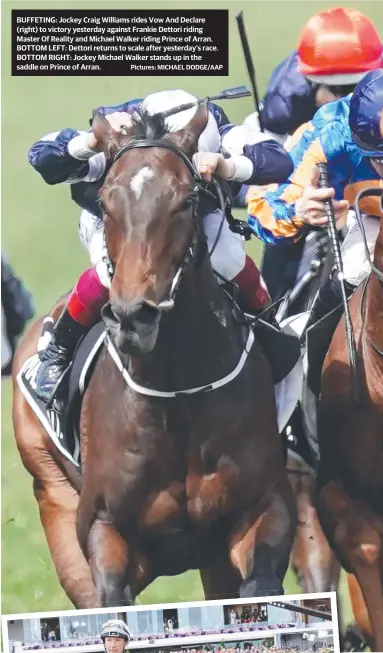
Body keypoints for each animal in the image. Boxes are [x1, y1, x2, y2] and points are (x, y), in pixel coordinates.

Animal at [12, 102, 296, 608]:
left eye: (185, 201)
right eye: (107, 202)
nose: (132, 318)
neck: (177, 390)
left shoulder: (261, 510)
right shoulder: (105, 533)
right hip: (51, 493)